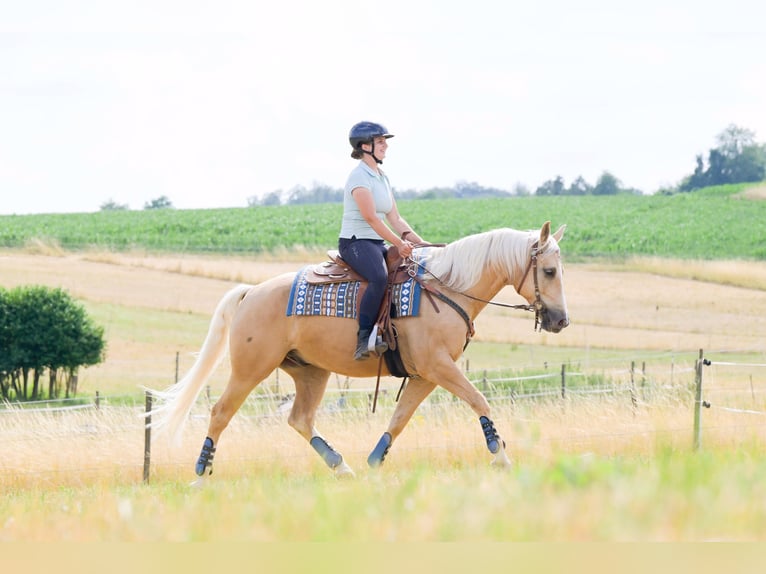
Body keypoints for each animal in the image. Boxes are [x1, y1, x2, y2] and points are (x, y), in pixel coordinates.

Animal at [147, 221, 569, 482]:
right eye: (549, 271)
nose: (561, 320)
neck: (447, 287)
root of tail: (251, 292)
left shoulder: (425, 374)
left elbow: (399, 418)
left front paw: (375, 462)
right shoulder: (439, 367)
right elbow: (479, 400)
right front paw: (501, 455)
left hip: (311, 372)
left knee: (299, 419)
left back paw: (342, 466)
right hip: (251, 370)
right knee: (220, 413)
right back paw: (201, 475)